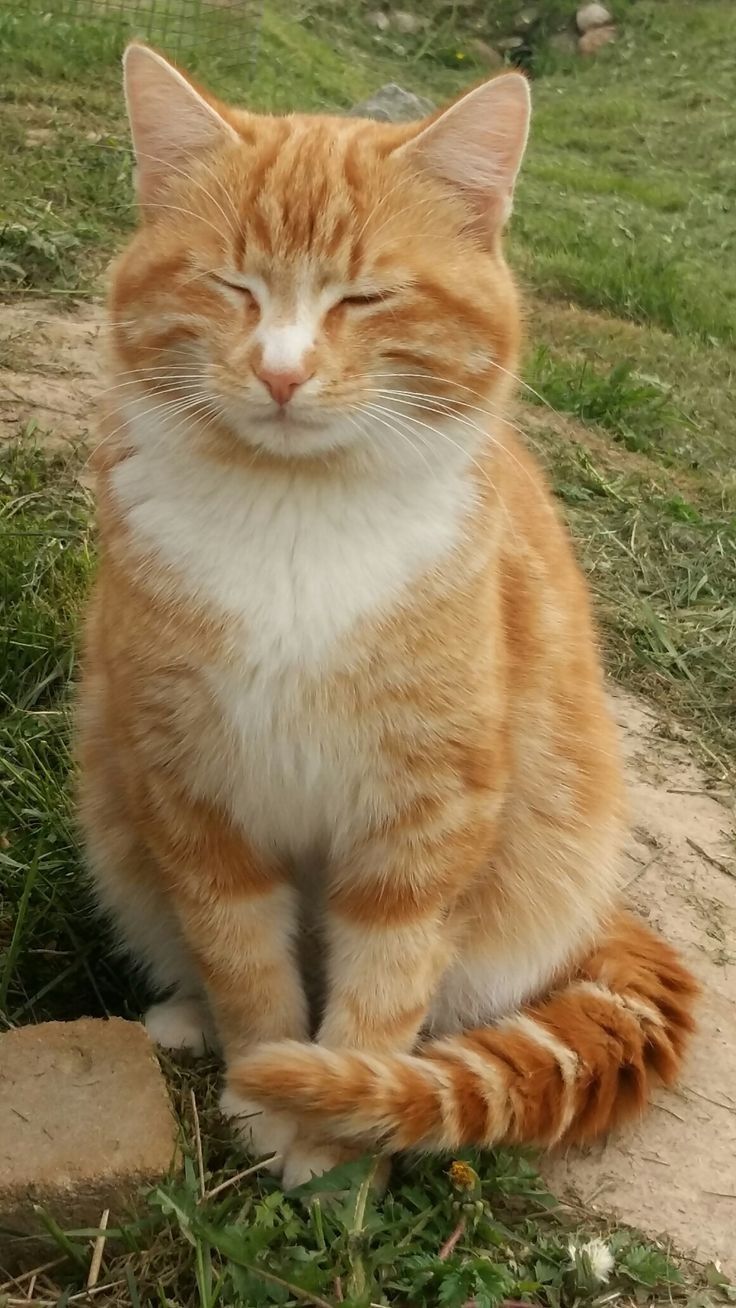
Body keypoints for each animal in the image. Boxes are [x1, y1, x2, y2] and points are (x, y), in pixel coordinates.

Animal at [77, 43, 700, 1187]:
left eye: (364, 298)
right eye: (231, 285)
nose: (280, 370)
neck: (295, 521)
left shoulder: (427, 814)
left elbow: (384, 984)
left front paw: (331, 1138)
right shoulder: (192, 787)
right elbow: (243, 957)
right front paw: (261, 1079)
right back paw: (186, 1020)